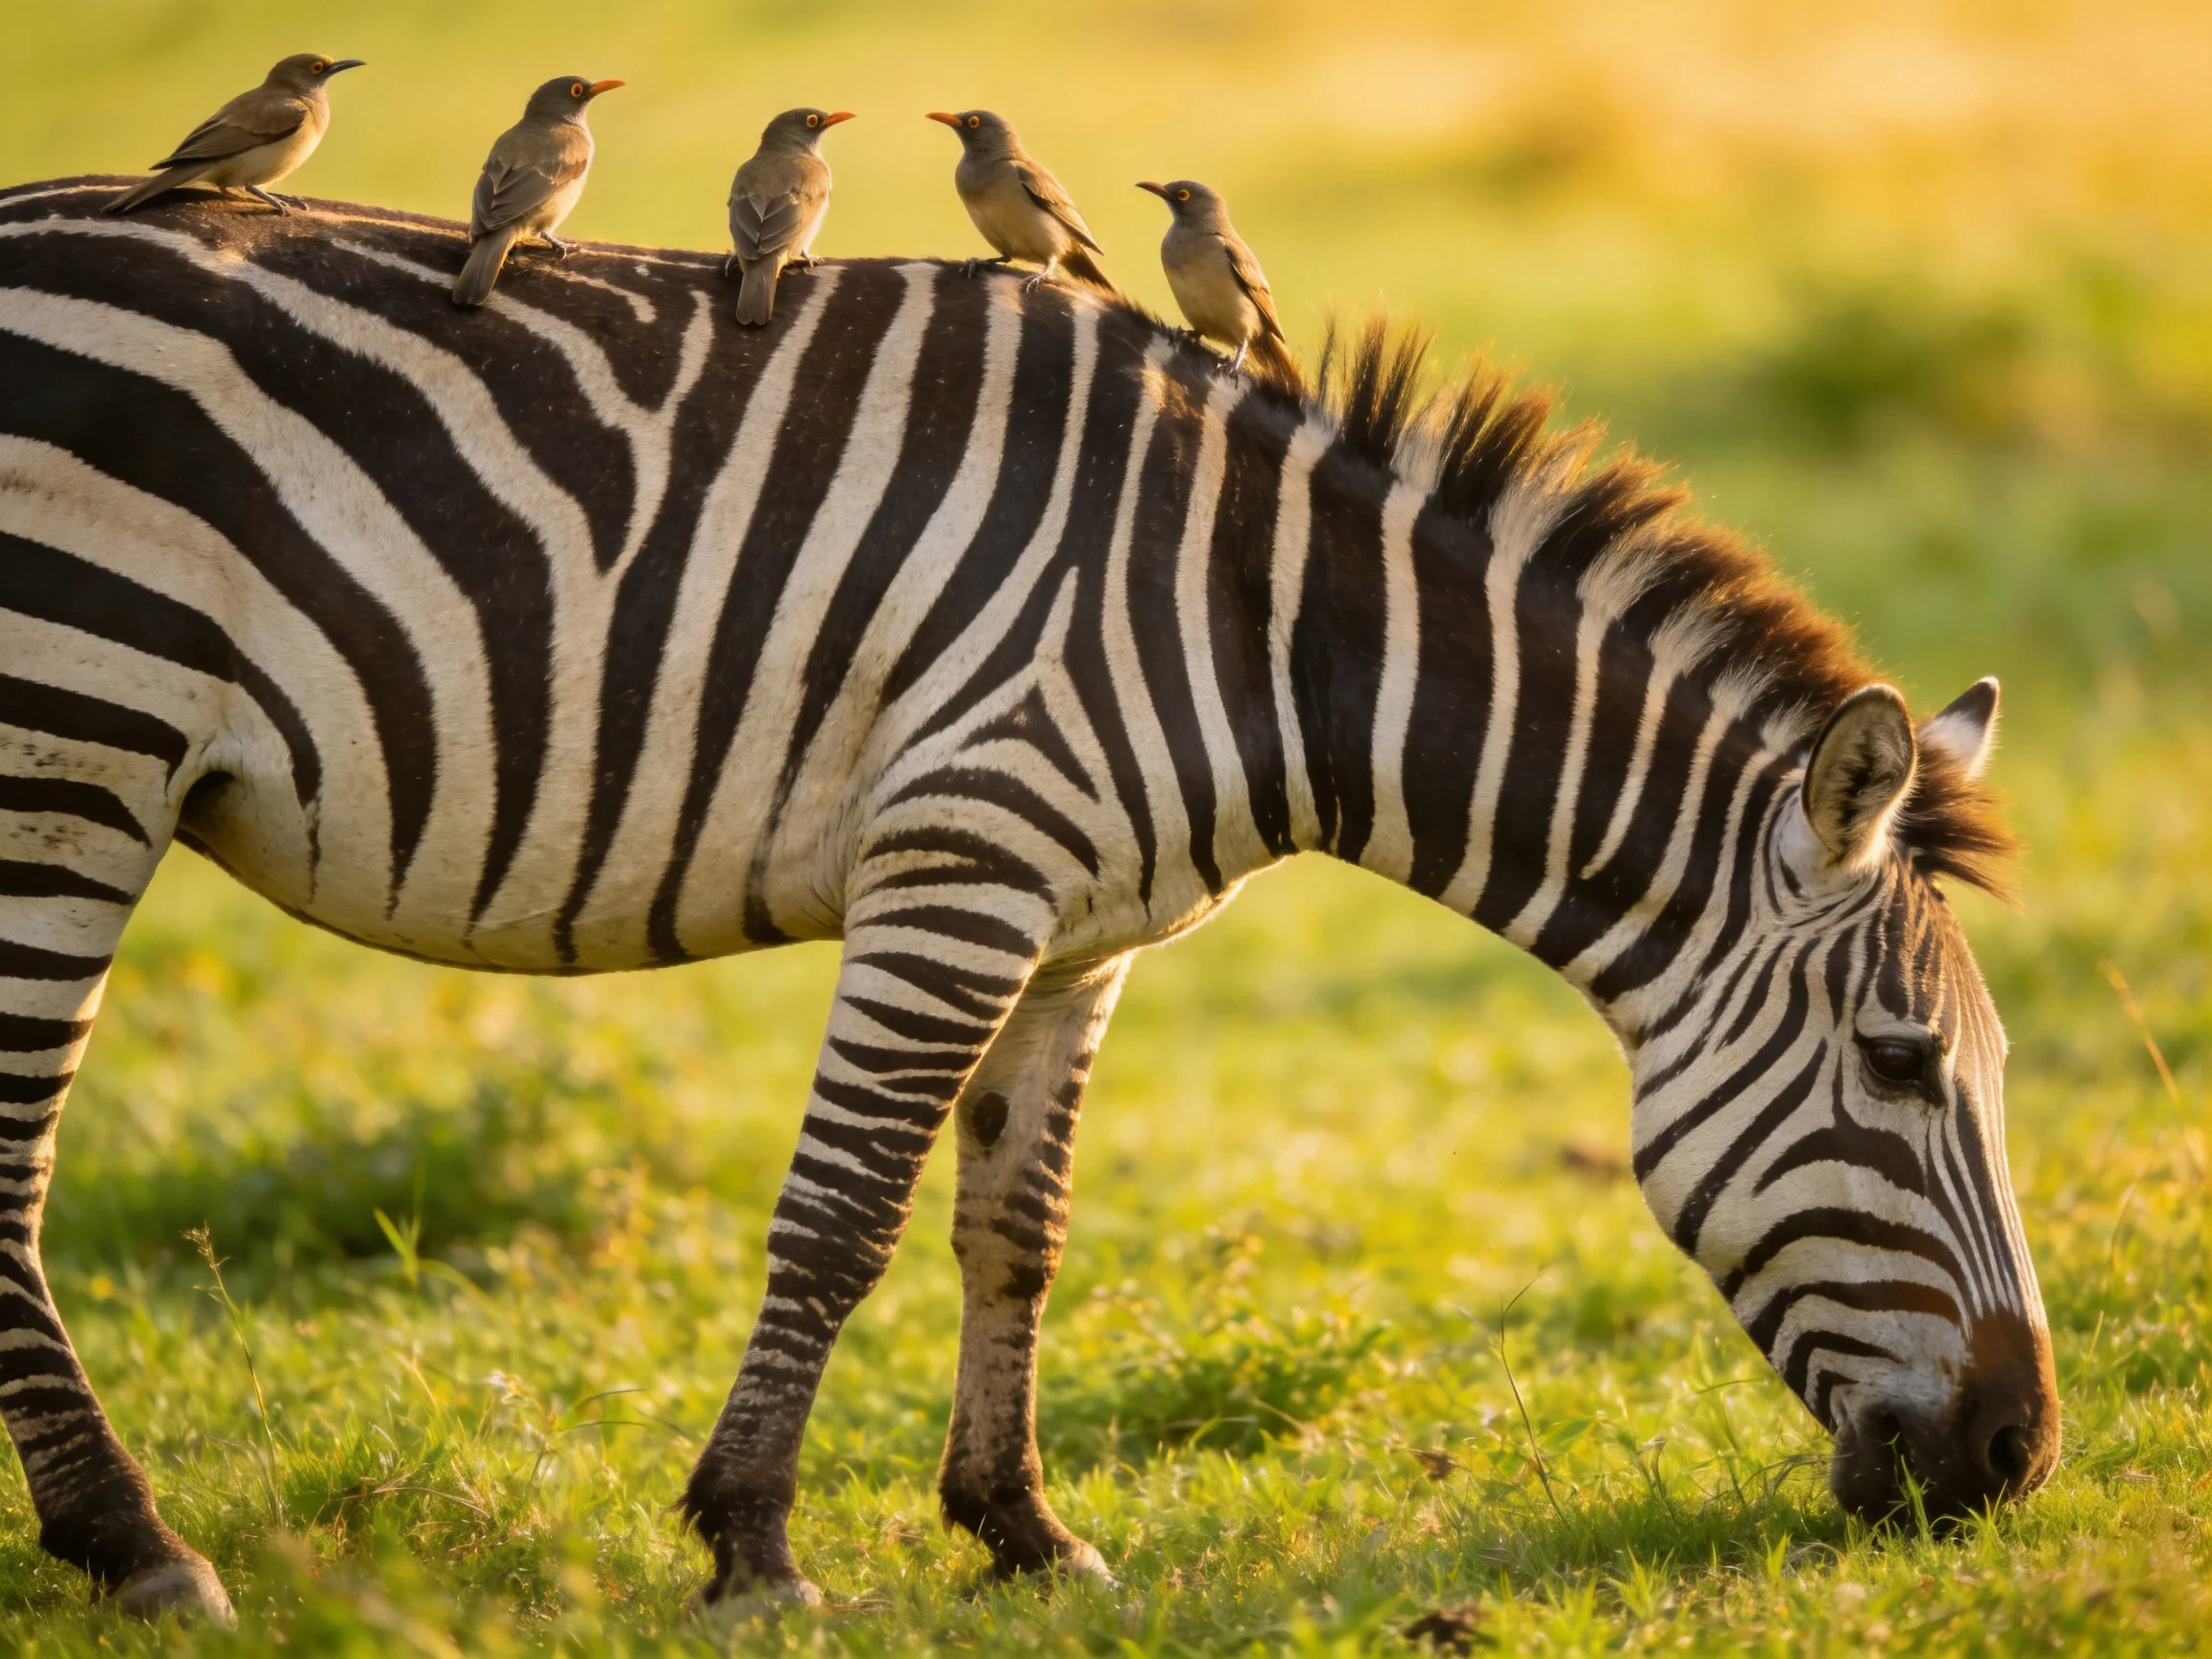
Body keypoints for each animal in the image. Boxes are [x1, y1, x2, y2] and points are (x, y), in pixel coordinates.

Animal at [0, 178, 2058, 1621]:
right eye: (1898, 1065)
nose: (2016, 1455)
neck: (1266, 628)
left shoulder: (1079, 930)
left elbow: (1016, 1227)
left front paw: (1017, 1527)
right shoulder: (960, 858)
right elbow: (838, 1217)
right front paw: (753, 1546)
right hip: (76, 742)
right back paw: (136, 1548)